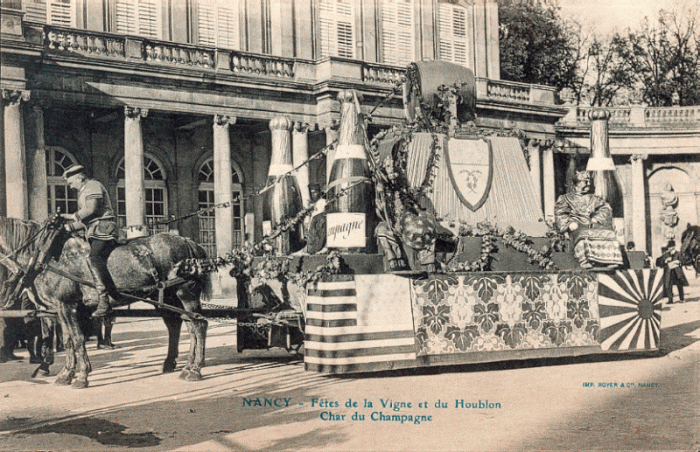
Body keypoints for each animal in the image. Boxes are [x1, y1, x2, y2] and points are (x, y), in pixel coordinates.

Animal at [0, 216, 211, 388]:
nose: (7, 293)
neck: (46, 256)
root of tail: (188, 242)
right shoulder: (56, 310)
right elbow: (67, 340)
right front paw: (65, 373)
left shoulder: (67, 306)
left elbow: (77, 339)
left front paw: (81, 376)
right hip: (167, 297)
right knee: (182, 326)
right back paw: (181, 365)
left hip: (185, 293)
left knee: (199, 325)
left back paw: (195, 369)